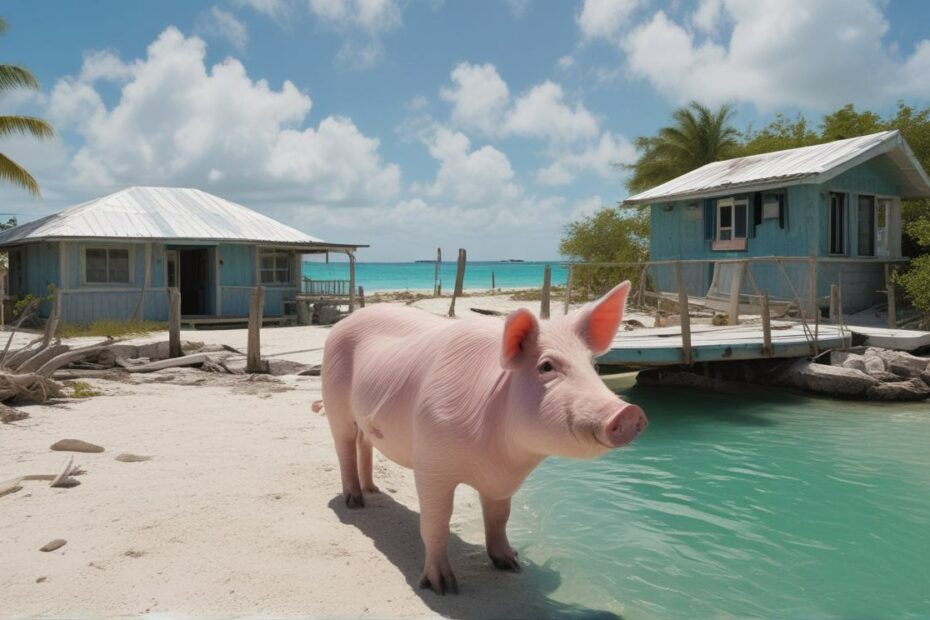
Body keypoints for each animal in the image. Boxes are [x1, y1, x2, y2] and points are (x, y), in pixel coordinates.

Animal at [320, 280, 644, 592]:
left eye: (593, 365)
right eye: (546, 366)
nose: (629, 412)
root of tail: (345, 321)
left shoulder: (502, 480)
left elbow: (499, 518)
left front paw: (511, 563)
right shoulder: (430, 461)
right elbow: (436, 522)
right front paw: (443, 587)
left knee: (364, 443)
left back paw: (373, 490)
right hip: (335, 401)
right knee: (344, 446)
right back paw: (355, 502)